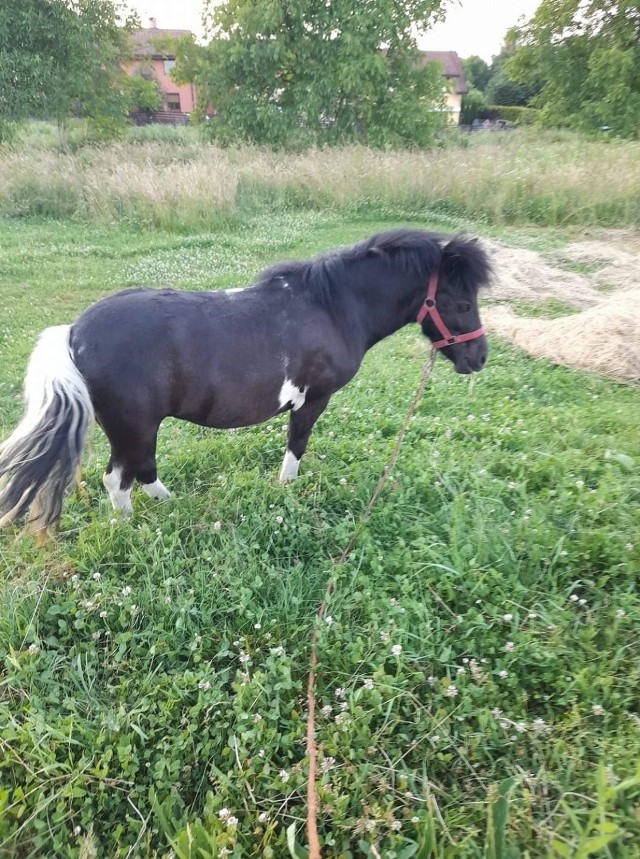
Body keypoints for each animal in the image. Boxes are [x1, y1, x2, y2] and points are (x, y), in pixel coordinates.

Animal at [0, 228, 490, 536]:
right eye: (462, 303)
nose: (479, 357)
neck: (332, 307)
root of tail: (73, 332)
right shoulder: (314, 399)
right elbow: (296, 446)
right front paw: (287, 490)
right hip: (133, 427)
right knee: (119, 481)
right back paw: (130, 529)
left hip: (138, 428)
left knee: (142, 471)